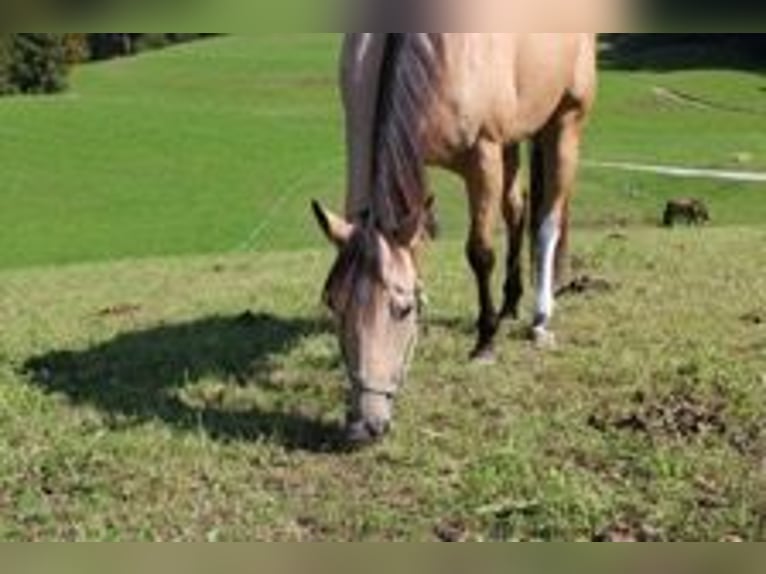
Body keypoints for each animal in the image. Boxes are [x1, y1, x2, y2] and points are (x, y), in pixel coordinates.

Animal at [313, 33, 597, 445]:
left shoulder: (483, 155)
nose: (363, 427)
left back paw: (540, 318)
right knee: (517, 210)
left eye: (403, 310)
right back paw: (510, 304)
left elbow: (480, 252)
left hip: (565, 120)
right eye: (334, 304)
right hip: (513, 138)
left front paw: (485, 343)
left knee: (547, 221)